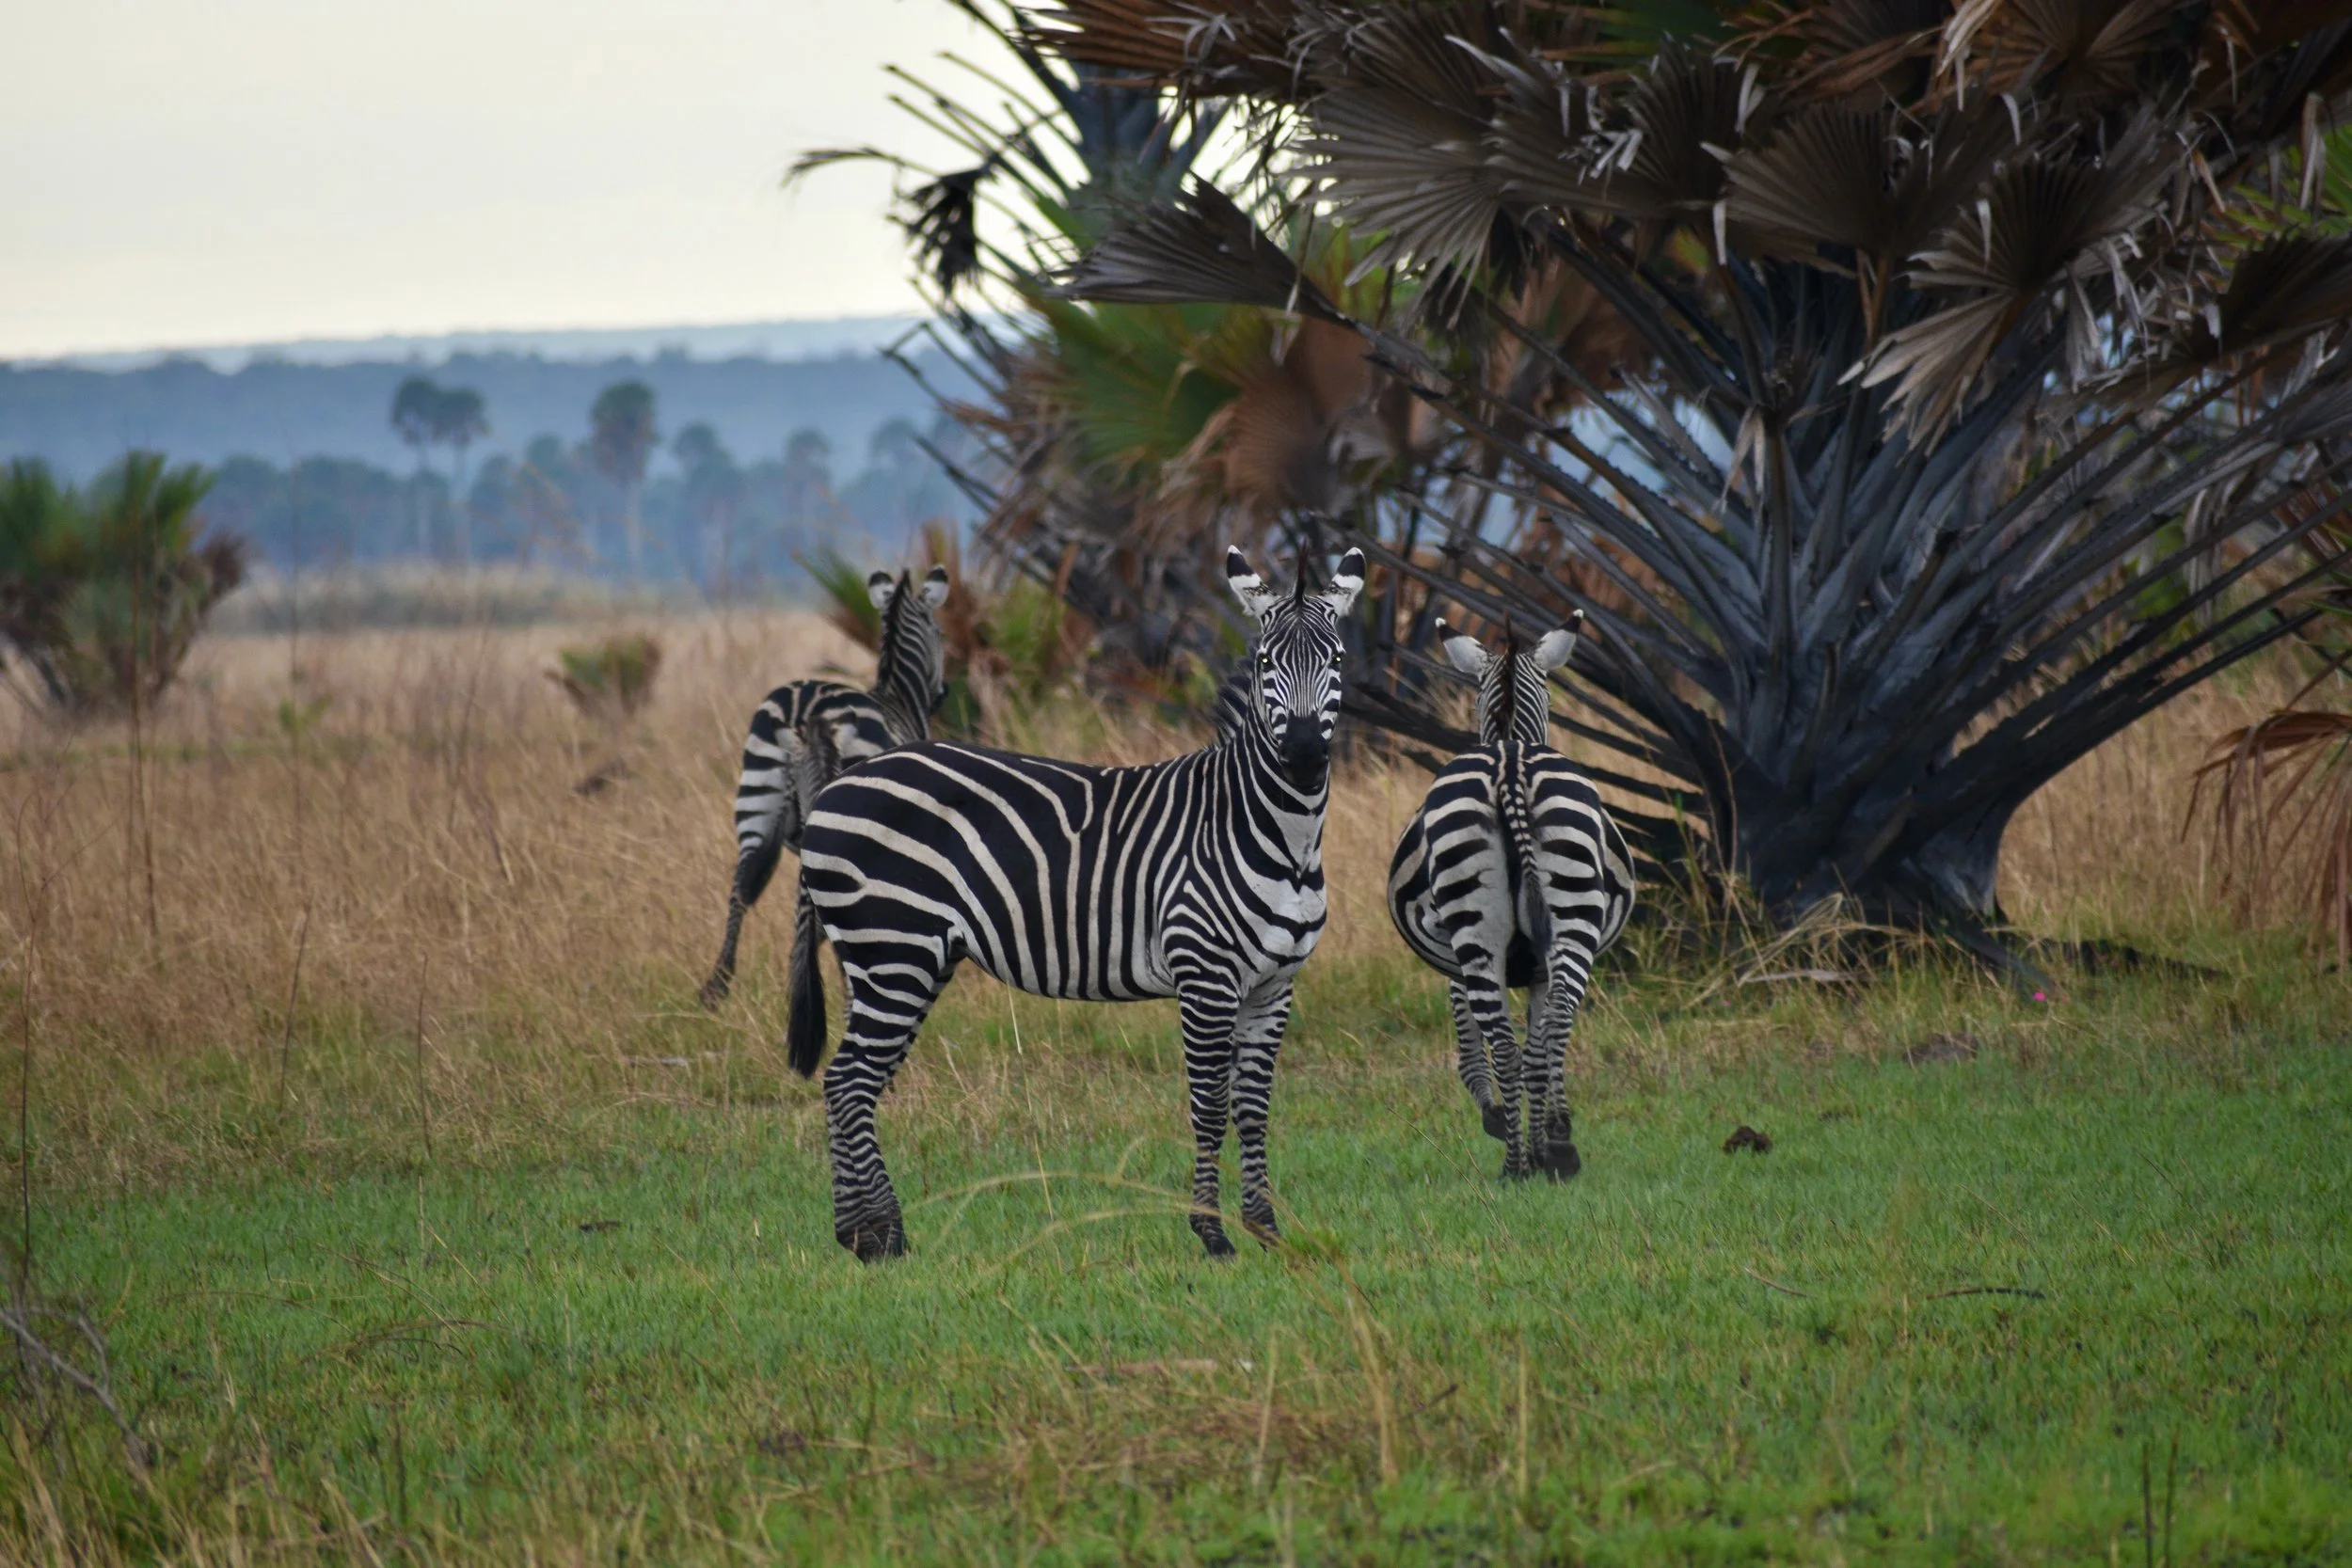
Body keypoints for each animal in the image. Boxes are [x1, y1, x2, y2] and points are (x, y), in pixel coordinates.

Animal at [696, 565, 950, 1009]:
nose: (944, 694)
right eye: (941, 633)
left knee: (740, 889)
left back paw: (718, 986)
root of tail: (805, 710)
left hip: (756, 797)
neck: (899, 698)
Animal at [787, 547, 1365, 1261]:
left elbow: (1254, 1108)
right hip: (895, 953)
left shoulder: (1275, 983)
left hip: (886, 962)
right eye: (1265, 663)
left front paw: (1266, 1229)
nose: (1307, 756)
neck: (1275, 833)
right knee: (848, 1082)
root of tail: (837, 785)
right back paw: (880, 1236)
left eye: (1336, 660)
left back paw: (865, 1231)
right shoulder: (1205, 975)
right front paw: (1211, 1234)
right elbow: (1209, 1105)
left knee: (851, 1082)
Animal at [1386, 615, 1635, 1181]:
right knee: (1549, 1027)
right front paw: (1537, 1133)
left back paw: (1521, 1161)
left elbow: (1484, 1044)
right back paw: (1539, 1156)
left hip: (1484, 932)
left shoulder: (1460, 960)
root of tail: (1510, 763)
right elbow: (1527, 1047)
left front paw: (1506, 1121)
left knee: (1511, 1041)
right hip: (1562, 919)